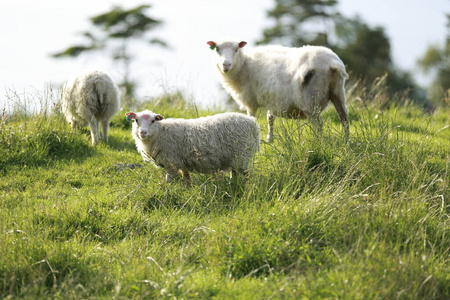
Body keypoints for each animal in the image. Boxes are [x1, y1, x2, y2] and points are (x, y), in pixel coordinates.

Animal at [125, 109, 260, 182]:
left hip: (242, 155)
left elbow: (168, 181)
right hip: (236, 158)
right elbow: (186, 179)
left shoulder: (172, 162)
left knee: (248, 175)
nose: (143, 132)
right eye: (136, 120)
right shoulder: (182, 163)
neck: (160, 132)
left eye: (153, 121)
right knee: (235, 174)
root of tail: (253, 123)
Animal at [207, 39, 352, 142]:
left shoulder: (250, 102)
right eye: (217, 49)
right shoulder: (273, 98)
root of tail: (332, 64)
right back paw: (346, 142)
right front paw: (270, 139)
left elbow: (252, 119)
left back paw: (318, 143)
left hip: (310, 101)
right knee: (344, 118)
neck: (244, 65)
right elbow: (270, 118)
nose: (226, 64)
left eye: (236, 49)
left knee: (318, 124)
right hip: (338, 92)